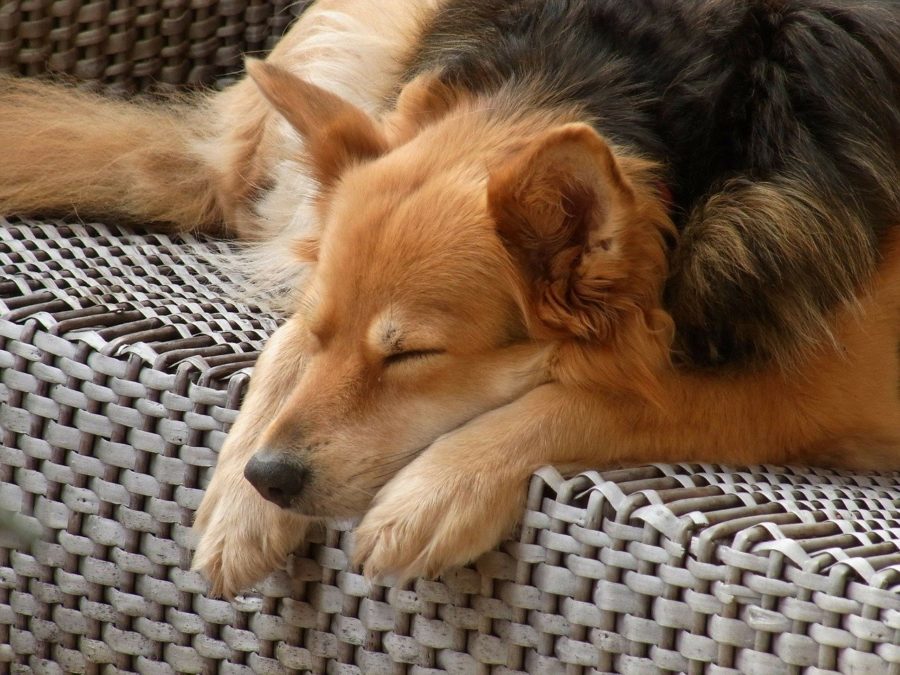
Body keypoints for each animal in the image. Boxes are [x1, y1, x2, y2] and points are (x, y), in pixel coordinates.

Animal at [1, 0, 900, 596]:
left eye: (414, 355)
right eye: (329, 333)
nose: (270, 477)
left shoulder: (821, 391)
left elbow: (606, 397)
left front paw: (438, 493)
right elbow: (285, 343)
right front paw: (240, 504)